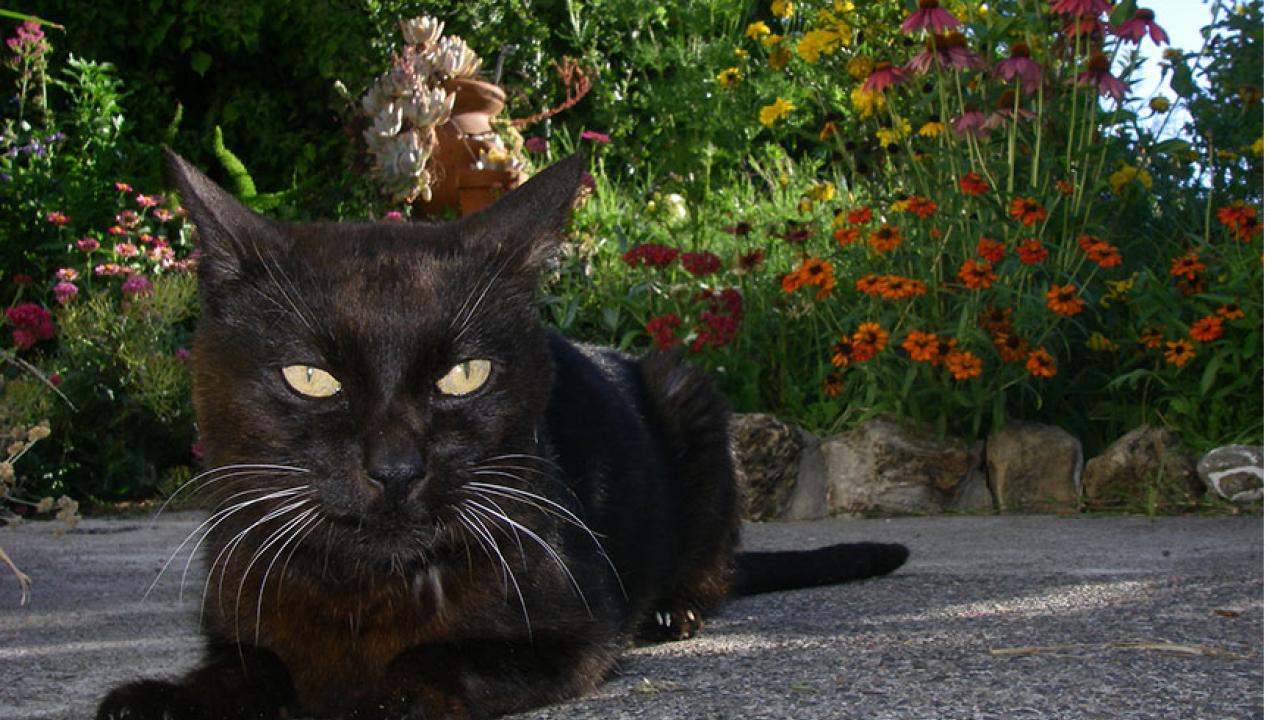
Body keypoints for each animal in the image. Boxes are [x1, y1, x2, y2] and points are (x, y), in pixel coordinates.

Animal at [94, 152, 906, 717]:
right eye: (311, 378)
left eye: (464, 375)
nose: (396, 466)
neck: (365, 585)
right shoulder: (239, 617)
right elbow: (245, 667)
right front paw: (164, 697)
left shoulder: (579, 636)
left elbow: (438, 658)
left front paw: (381, 696)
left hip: (692, 397)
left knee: (713, 571)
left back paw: (674, 612)